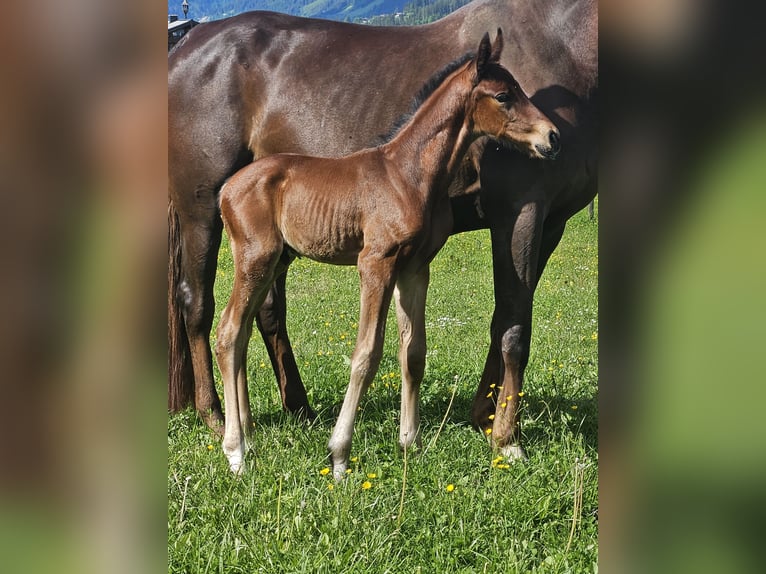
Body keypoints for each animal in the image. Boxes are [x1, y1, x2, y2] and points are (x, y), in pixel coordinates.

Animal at [214, 30, 560, 476]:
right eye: (503, 95)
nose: (552, 137)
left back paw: (249, 440)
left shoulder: (415, 268)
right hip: (255, 259)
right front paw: (339, 453)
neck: (408, 174)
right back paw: (236, 450)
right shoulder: (375, 263)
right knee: (228, 333)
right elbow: (366, 354)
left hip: (275, 261)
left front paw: (409, 442)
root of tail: (226, 189)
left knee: (238, 333)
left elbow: (413, 352)